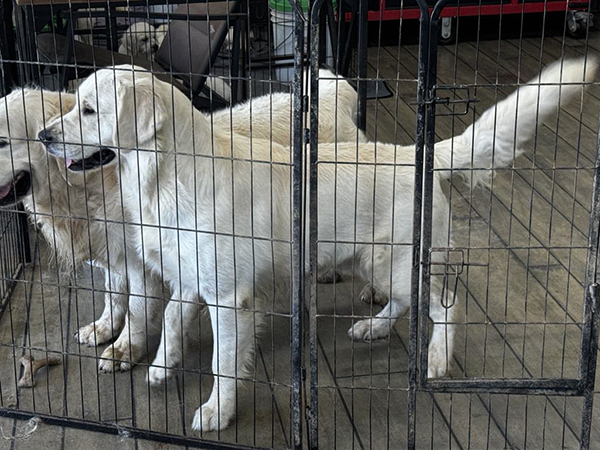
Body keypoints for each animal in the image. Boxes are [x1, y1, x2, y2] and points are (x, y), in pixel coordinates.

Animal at [42, 58, 596, 430]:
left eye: (88, 110)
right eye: (72, 105)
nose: (46, 136)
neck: (165, 175)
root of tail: (418, 154)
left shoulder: (229, 296)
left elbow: (224, 361)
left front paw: (217, 411)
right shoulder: (191, 276)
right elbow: (173, 319)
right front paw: (160, 365)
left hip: (398, 263)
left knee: (446, 304)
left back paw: (437, 359)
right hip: (376, 261)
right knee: (403, 303)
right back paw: (373, 327)